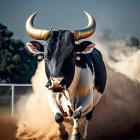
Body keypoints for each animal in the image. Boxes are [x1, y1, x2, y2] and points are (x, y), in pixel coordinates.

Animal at [25, 11, 106, 140]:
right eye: (45, 56)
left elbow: (76, 114)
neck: (68, 92)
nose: (57, 82)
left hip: (94, 104)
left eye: (73, 54)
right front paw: (62, 133)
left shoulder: (88, 101)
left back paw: (84, 136)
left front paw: (75, 134)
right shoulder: (51, 98)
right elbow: (58, 116)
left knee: (87, 119)